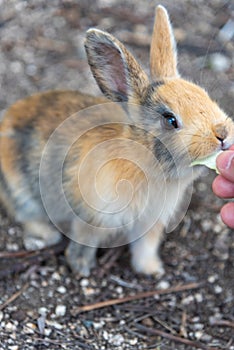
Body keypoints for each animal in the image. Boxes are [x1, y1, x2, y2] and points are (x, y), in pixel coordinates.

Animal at [0, 4, 234, 276]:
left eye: (204, 95)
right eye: (170, 120)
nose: (222, 134)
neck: (146, 164)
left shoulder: (149, 224)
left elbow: (145, 247)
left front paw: (151, 269)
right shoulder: (92, 218)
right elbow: (85, 242)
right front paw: (81, 268)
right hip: (20, 189)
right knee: (25, 214)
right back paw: (47, 235)